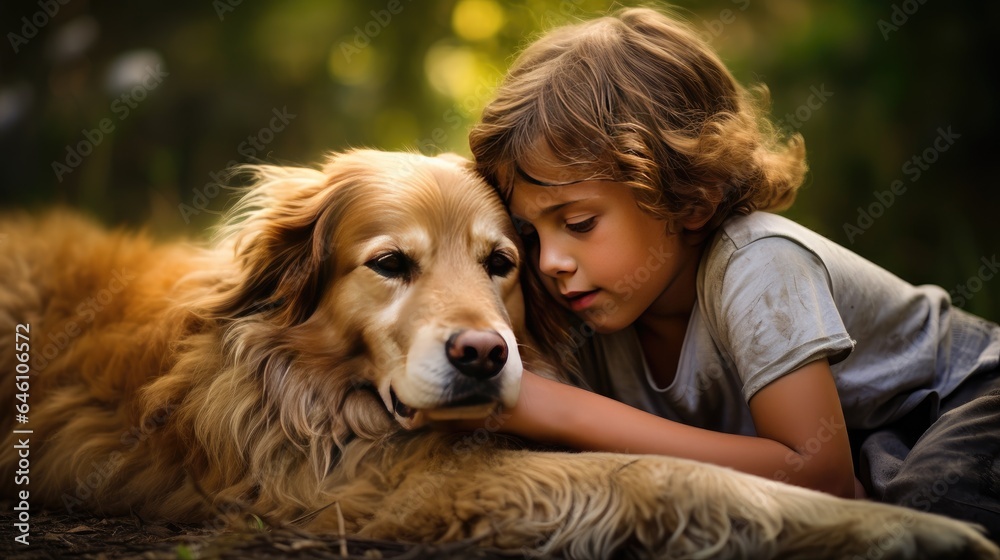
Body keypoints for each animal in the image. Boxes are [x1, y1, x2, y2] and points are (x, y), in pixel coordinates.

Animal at [1, 150, 1000, 560]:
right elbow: (665, 472)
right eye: (390, 264)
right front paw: (911, 530)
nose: (484, 355)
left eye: (501, 263)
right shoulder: (381, 482)